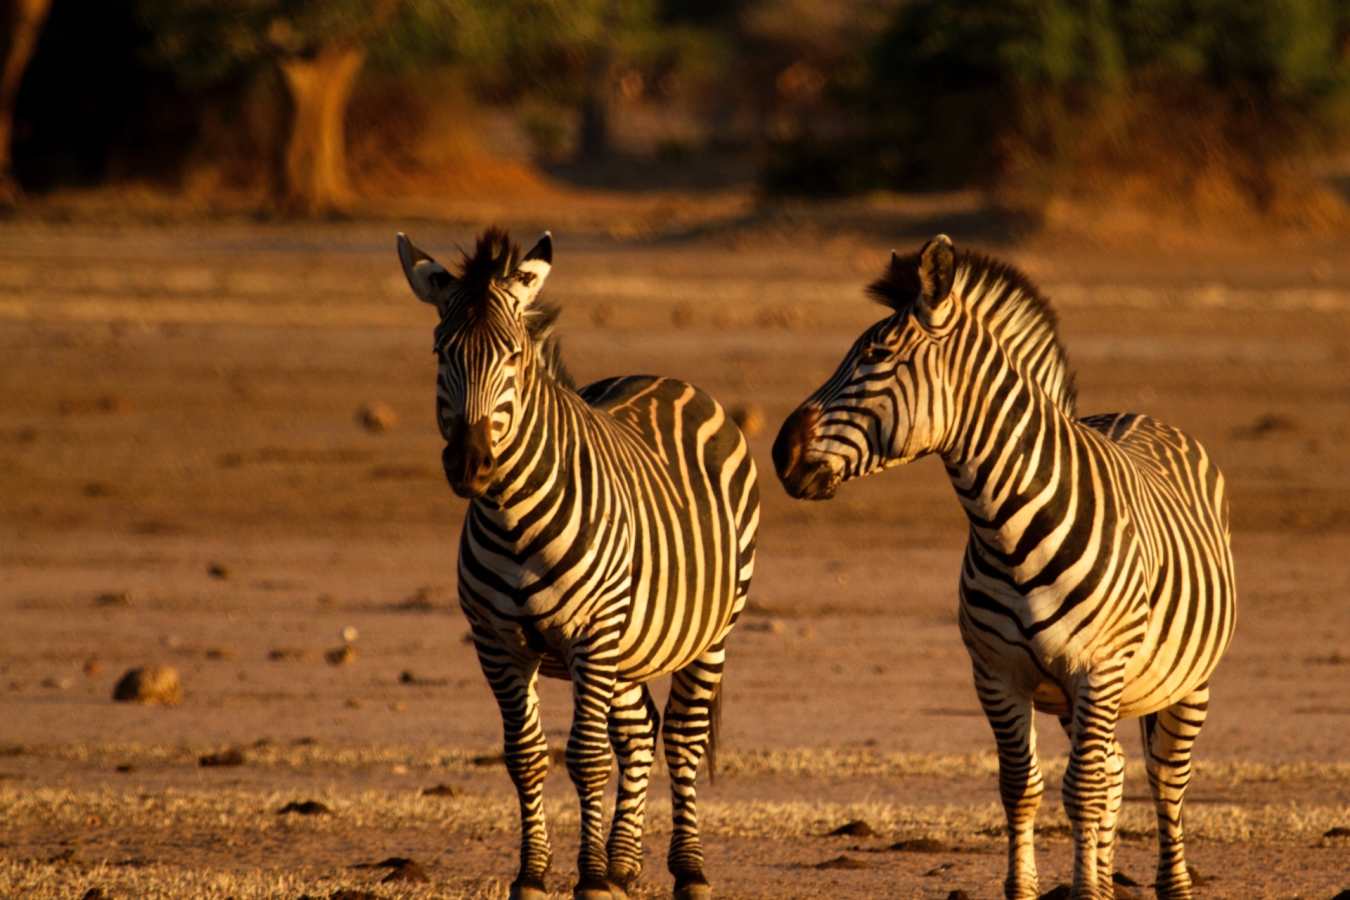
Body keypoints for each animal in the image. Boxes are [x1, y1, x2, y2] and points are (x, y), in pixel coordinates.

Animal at [397, 227, 759, 900]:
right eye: (440, 351)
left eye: (513, 356)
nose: (470, 464)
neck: (513, 519)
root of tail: (664, 377)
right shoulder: (497, 641)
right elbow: (526, 756)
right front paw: (534, 875)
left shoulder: (592, 632)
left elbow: (587, 756)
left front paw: (587, 880)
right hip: (630, 644)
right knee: (639, 731)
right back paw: (623, 864)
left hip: (707, 632)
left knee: (682, 738)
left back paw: (688, 869)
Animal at [772, 235, 1236, 900]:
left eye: (877, 355)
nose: (778, 453)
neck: (1007, 527)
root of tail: (1137, 414)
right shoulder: (995, 673)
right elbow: (1022, 788)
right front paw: (1034, 887)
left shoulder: (1097, 669)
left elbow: (1081, 792)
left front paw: (1087, 892)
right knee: (1114, 772)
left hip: (1185, 683)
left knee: (1165, 784)